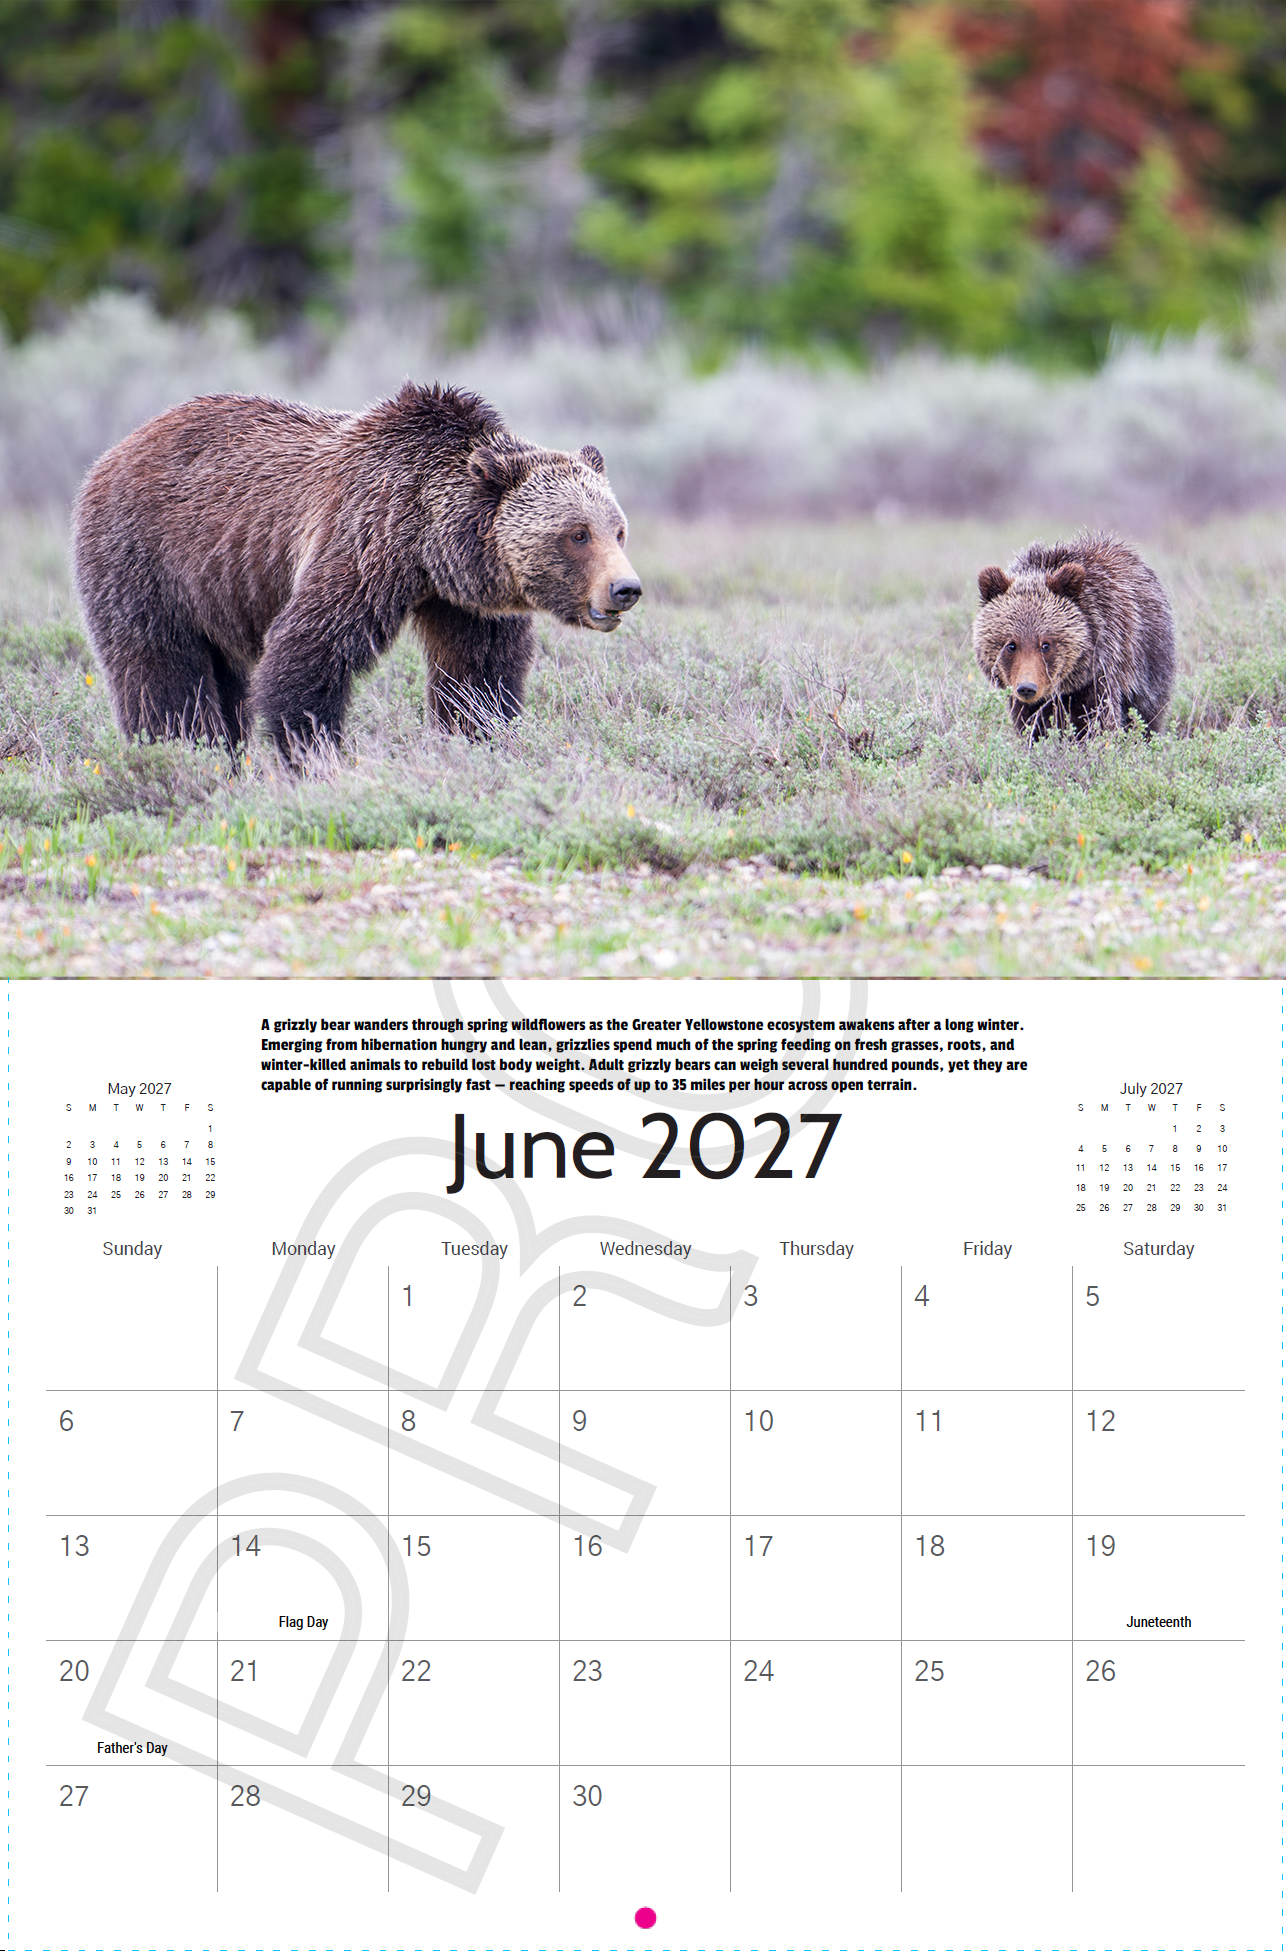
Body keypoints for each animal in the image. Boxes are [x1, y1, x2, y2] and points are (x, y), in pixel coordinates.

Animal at [71, 382, 641, 760]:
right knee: (160, 666)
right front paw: (312, 752)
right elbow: (309, 649)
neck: (429, 540)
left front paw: (476, 738)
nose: (625, 589)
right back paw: (182, 751)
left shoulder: (466, 600)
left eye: (617, 530)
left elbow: (478, 674)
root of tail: (112, 452)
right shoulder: (364, 538)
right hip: (145, 558)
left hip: (215, 594)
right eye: (577, 534)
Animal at [973, 531, 1174, 738]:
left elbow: (1098, 718)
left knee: (1147, 711)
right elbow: (1031, 724)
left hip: (1147, 662)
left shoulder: (1100, 671)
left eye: (1046, 644)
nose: (1027, 688)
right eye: (1011, 645)